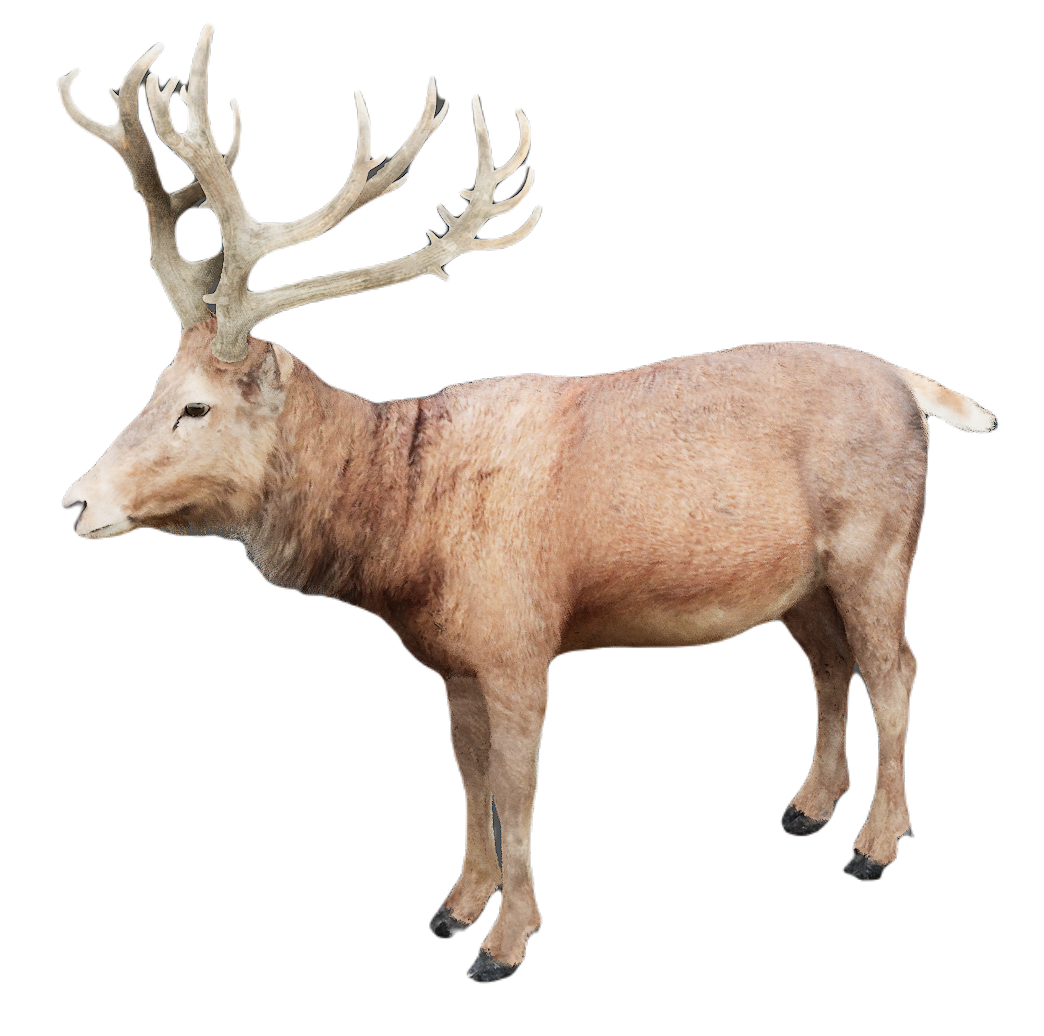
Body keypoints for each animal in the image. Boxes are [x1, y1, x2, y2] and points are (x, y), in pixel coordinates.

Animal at [58, 24, 996, 984]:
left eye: (195, 408)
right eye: (153, 386)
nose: (75, 502)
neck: (408, 537)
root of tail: (911, 386)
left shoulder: (519, 643)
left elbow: (519, 790)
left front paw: (507, 941)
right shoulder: (452, 660)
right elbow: (469, 778)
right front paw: (455, 906)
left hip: (880, 543)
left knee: (896, 668)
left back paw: (877, 843)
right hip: (798, 583)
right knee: (829, 665)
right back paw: (810, 806)